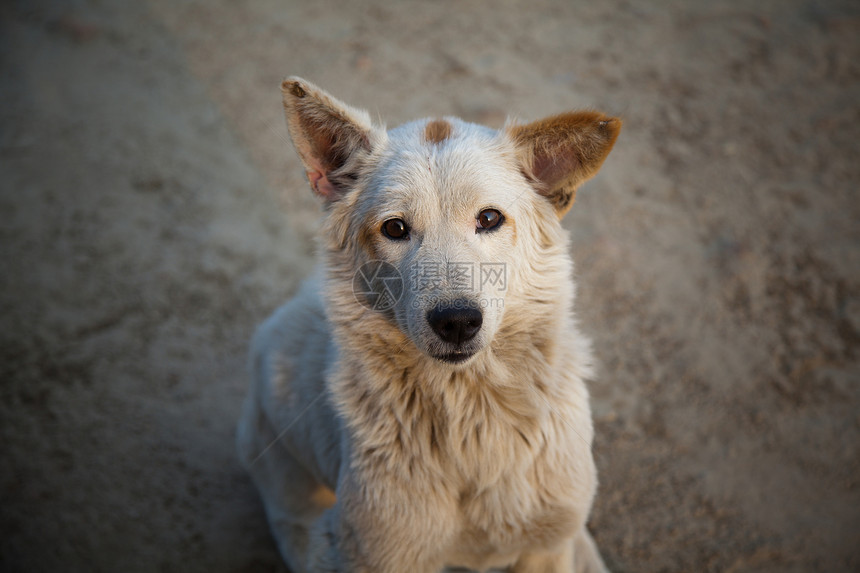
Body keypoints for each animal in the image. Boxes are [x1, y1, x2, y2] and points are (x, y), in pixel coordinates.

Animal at [239, 77, 620, 572]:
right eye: (395, 228)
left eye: (490, 218)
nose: (456, 321)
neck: (469, 421)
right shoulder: (379, 554)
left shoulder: (544, 550)